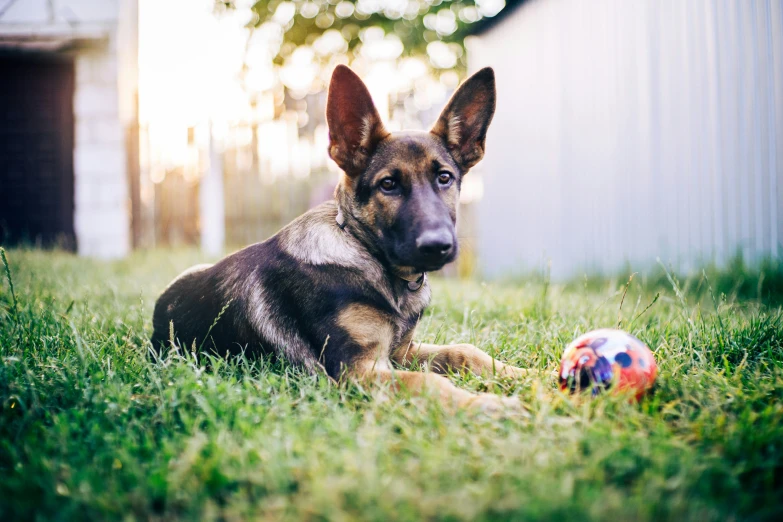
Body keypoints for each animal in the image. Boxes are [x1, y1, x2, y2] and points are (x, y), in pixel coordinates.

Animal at [150, 64, 528, 410]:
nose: (438, 247)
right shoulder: (356, 370)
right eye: (388, 184)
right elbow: (428, 382)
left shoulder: (401, 352)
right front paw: (491, 404)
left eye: (445, 178)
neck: (371, 260)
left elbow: (465, 352)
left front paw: (528, 377)